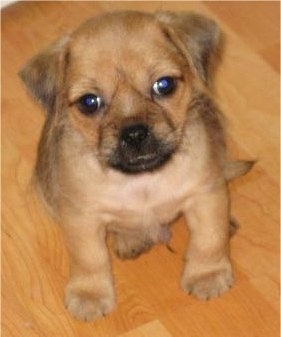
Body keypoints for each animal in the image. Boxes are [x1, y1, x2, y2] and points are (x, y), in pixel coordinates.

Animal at [19, 10, 252, 320]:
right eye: (89, 102)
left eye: (164, 85)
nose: (134, 133)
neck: (142, 180)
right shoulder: (81, 217)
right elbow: (89, 258)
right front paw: (90, 294)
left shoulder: (204, 196)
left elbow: (209, 238)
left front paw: (207, 274)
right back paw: (131, 238)